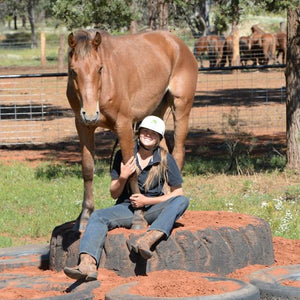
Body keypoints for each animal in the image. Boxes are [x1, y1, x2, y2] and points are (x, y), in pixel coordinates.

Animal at [67, 29, 198, 230]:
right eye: (74, 70)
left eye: (100, 68)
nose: (90, 113)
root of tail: (178, 43)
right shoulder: (83, 126)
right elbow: (88, 169)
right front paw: (85, 216)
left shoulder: (124, 125)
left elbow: (132, 169)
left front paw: (138, 216)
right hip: (156, 111)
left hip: (181, 107)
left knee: (177, 153)